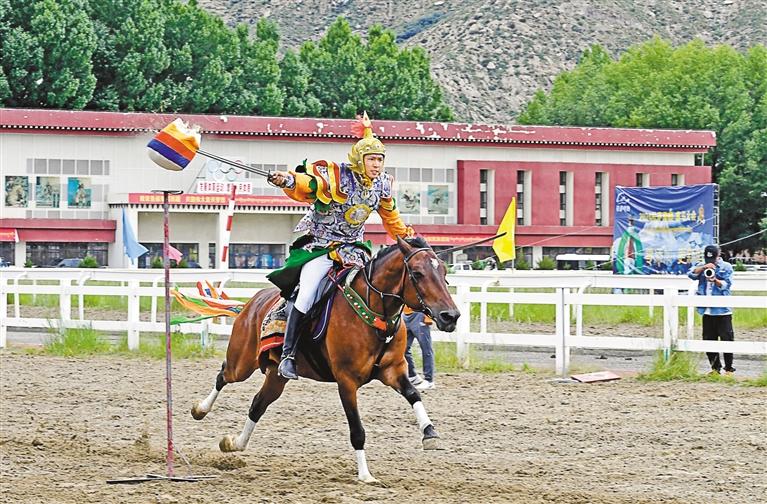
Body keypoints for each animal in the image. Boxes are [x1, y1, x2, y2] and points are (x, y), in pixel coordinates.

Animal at [190, 236, 460, 482]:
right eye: (417, 273)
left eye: (444, 272)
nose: (451, 316)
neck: (373, 315)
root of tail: (251, 303)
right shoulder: (346, 381)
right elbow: (357, 430)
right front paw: (365, 474)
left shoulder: (393, 370)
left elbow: (414, 394)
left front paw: (430, 433)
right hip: (242, 363)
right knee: (223, 375)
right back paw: (200, 409)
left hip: (276, 375)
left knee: (257, 405)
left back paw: (234, 443)